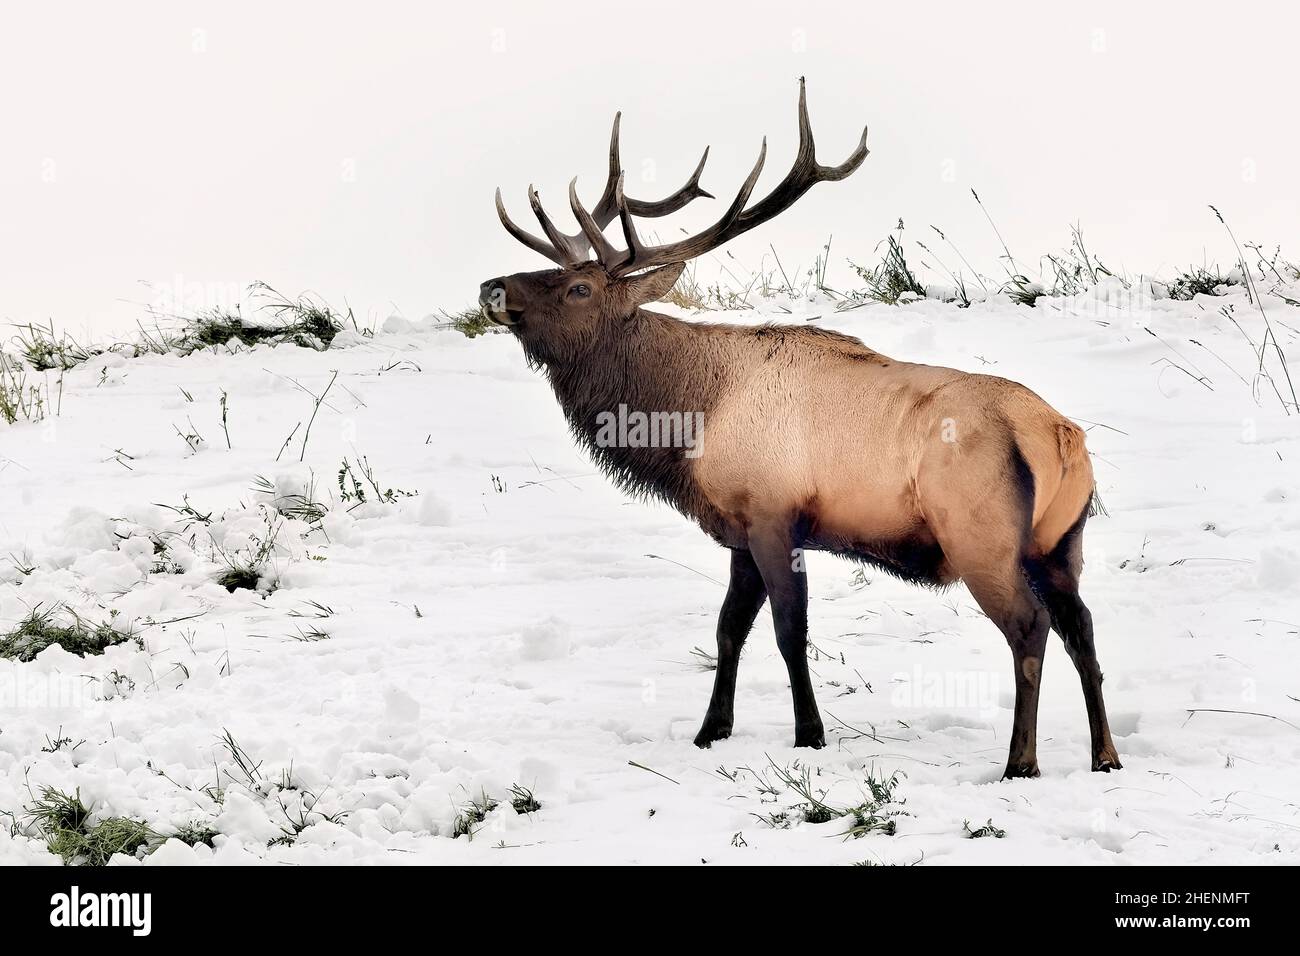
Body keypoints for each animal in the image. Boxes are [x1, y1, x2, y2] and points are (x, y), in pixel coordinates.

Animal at [478, 80, 1118, 780]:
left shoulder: (773, 515)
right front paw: (710, 730)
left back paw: (1020, 763)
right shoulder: (738, 527)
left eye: (579, 287)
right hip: (1061, 542)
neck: (690, 417)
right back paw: (1105, 756)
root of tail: (1061, 439)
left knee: (1031, 627)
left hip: (983, 538)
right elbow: (728, 628)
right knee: (1083, 627)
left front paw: (808, 734)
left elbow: (789, 630)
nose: (491, 285)